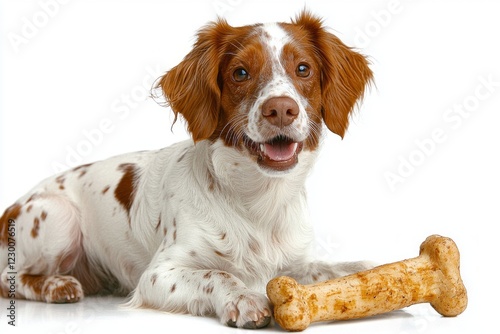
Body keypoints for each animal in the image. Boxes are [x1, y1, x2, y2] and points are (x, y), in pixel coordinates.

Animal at [0, 10, 372, 328]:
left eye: (304, 68)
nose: (280, 109)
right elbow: (217, 274)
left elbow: (325, 268)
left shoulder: (292, 262)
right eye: (240, 72)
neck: (257, 201)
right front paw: (243, 298)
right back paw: (57, 286)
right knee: (10, 279)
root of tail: (9, 210)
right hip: (58, 215)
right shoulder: (158, 274)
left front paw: (360, 271)